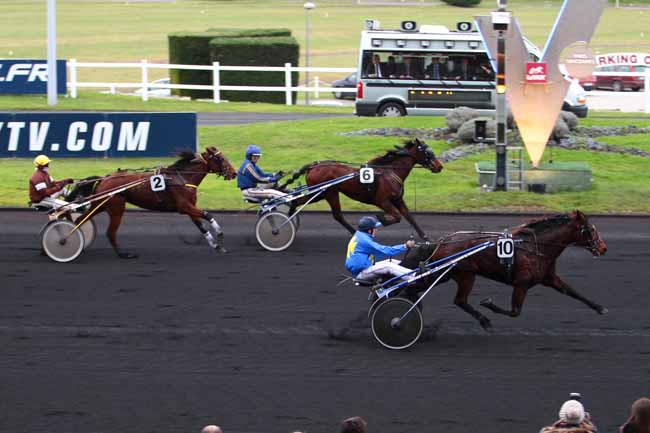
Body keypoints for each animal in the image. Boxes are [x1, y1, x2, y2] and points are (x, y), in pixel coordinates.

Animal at [39, 147, 235, 262]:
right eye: (220, 159)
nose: (233, 173)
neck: (182, 178)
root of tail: (104, 178)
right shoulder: (184, 206)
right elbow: (208, 215)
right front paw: (220, 234)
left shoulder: (188, 208)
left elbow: (201, 225)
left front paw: (216, 245)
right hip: (116, 208)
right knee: (109, 232)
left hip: (102, 205)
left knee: (80, 220)